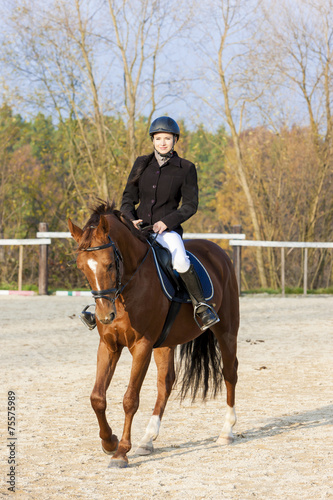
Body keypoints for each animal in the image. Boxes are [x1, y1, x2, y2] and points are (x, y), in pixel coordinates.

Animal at [68, 201, 239, 466]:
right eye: (82, 268)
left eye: (109, 264)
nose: (106, 316)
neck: (127, 286)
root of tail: (217, 250)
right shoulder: (109, 345)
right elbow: (97, 397)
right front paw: (109, 442)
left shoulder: (142, 346)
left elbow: (130, 399)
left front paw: (121, 452)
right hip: (166, 342)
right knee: (165, 383)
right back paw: (147, 440)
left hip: (227, 330)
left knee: (229, 372)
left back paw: (226, 432)